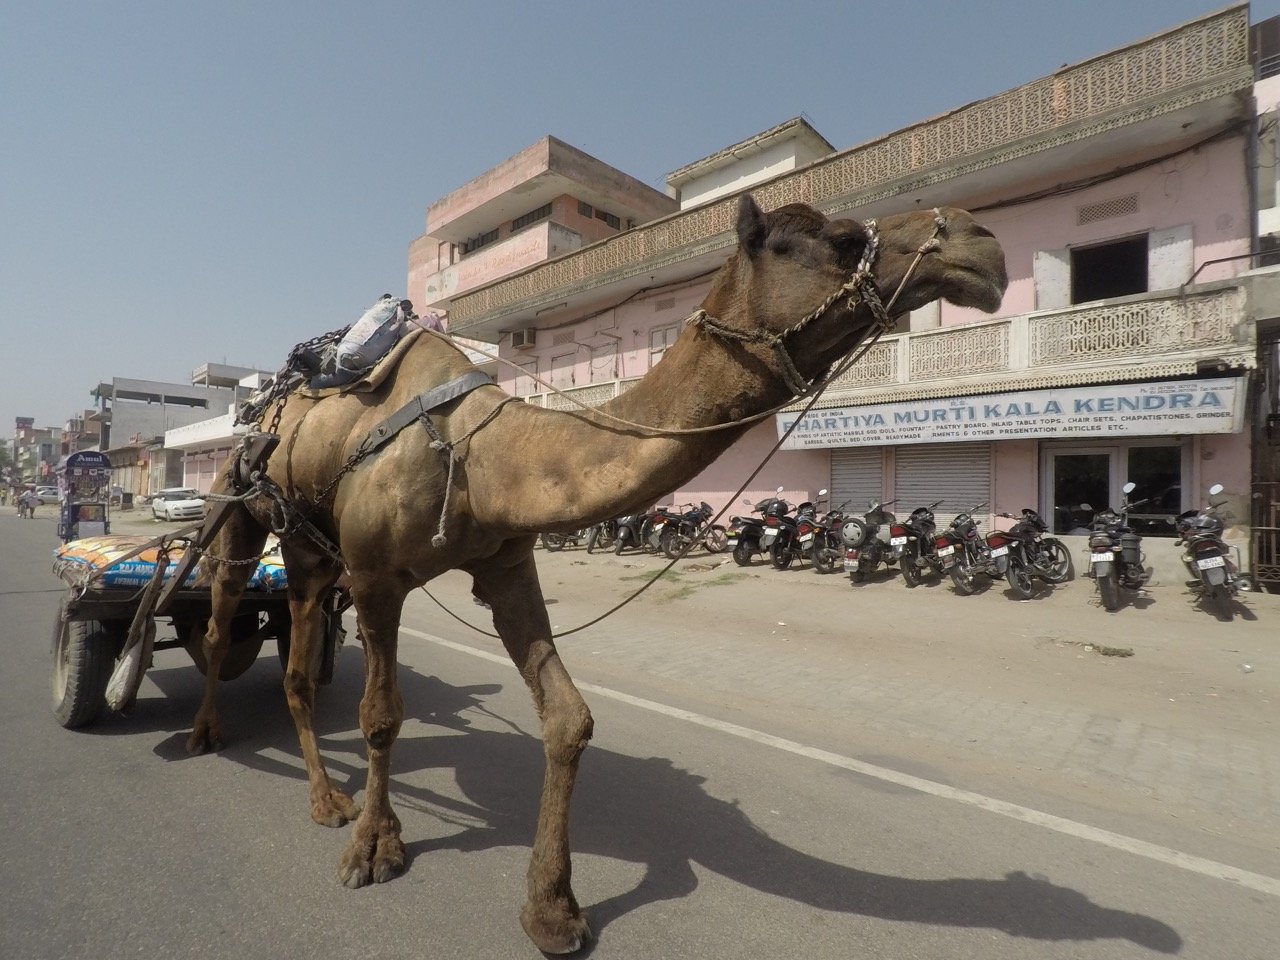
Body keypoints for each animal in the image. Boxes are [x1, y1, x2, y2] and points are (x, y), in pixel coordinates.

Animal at [186, 193, 1008, 957]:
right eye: (837, 240)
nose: (980, 242)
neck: (478, 455)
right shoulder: (377, 575)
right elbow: (381, 715)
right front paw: (373, 849)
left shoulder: (504, 566)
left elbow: (567, 718)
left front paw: (551, 908)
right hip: (244, 506)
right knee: (225, 609)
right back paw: (231, 748)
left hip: (313, 553)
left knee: (298, 654)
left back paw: (324, 793)